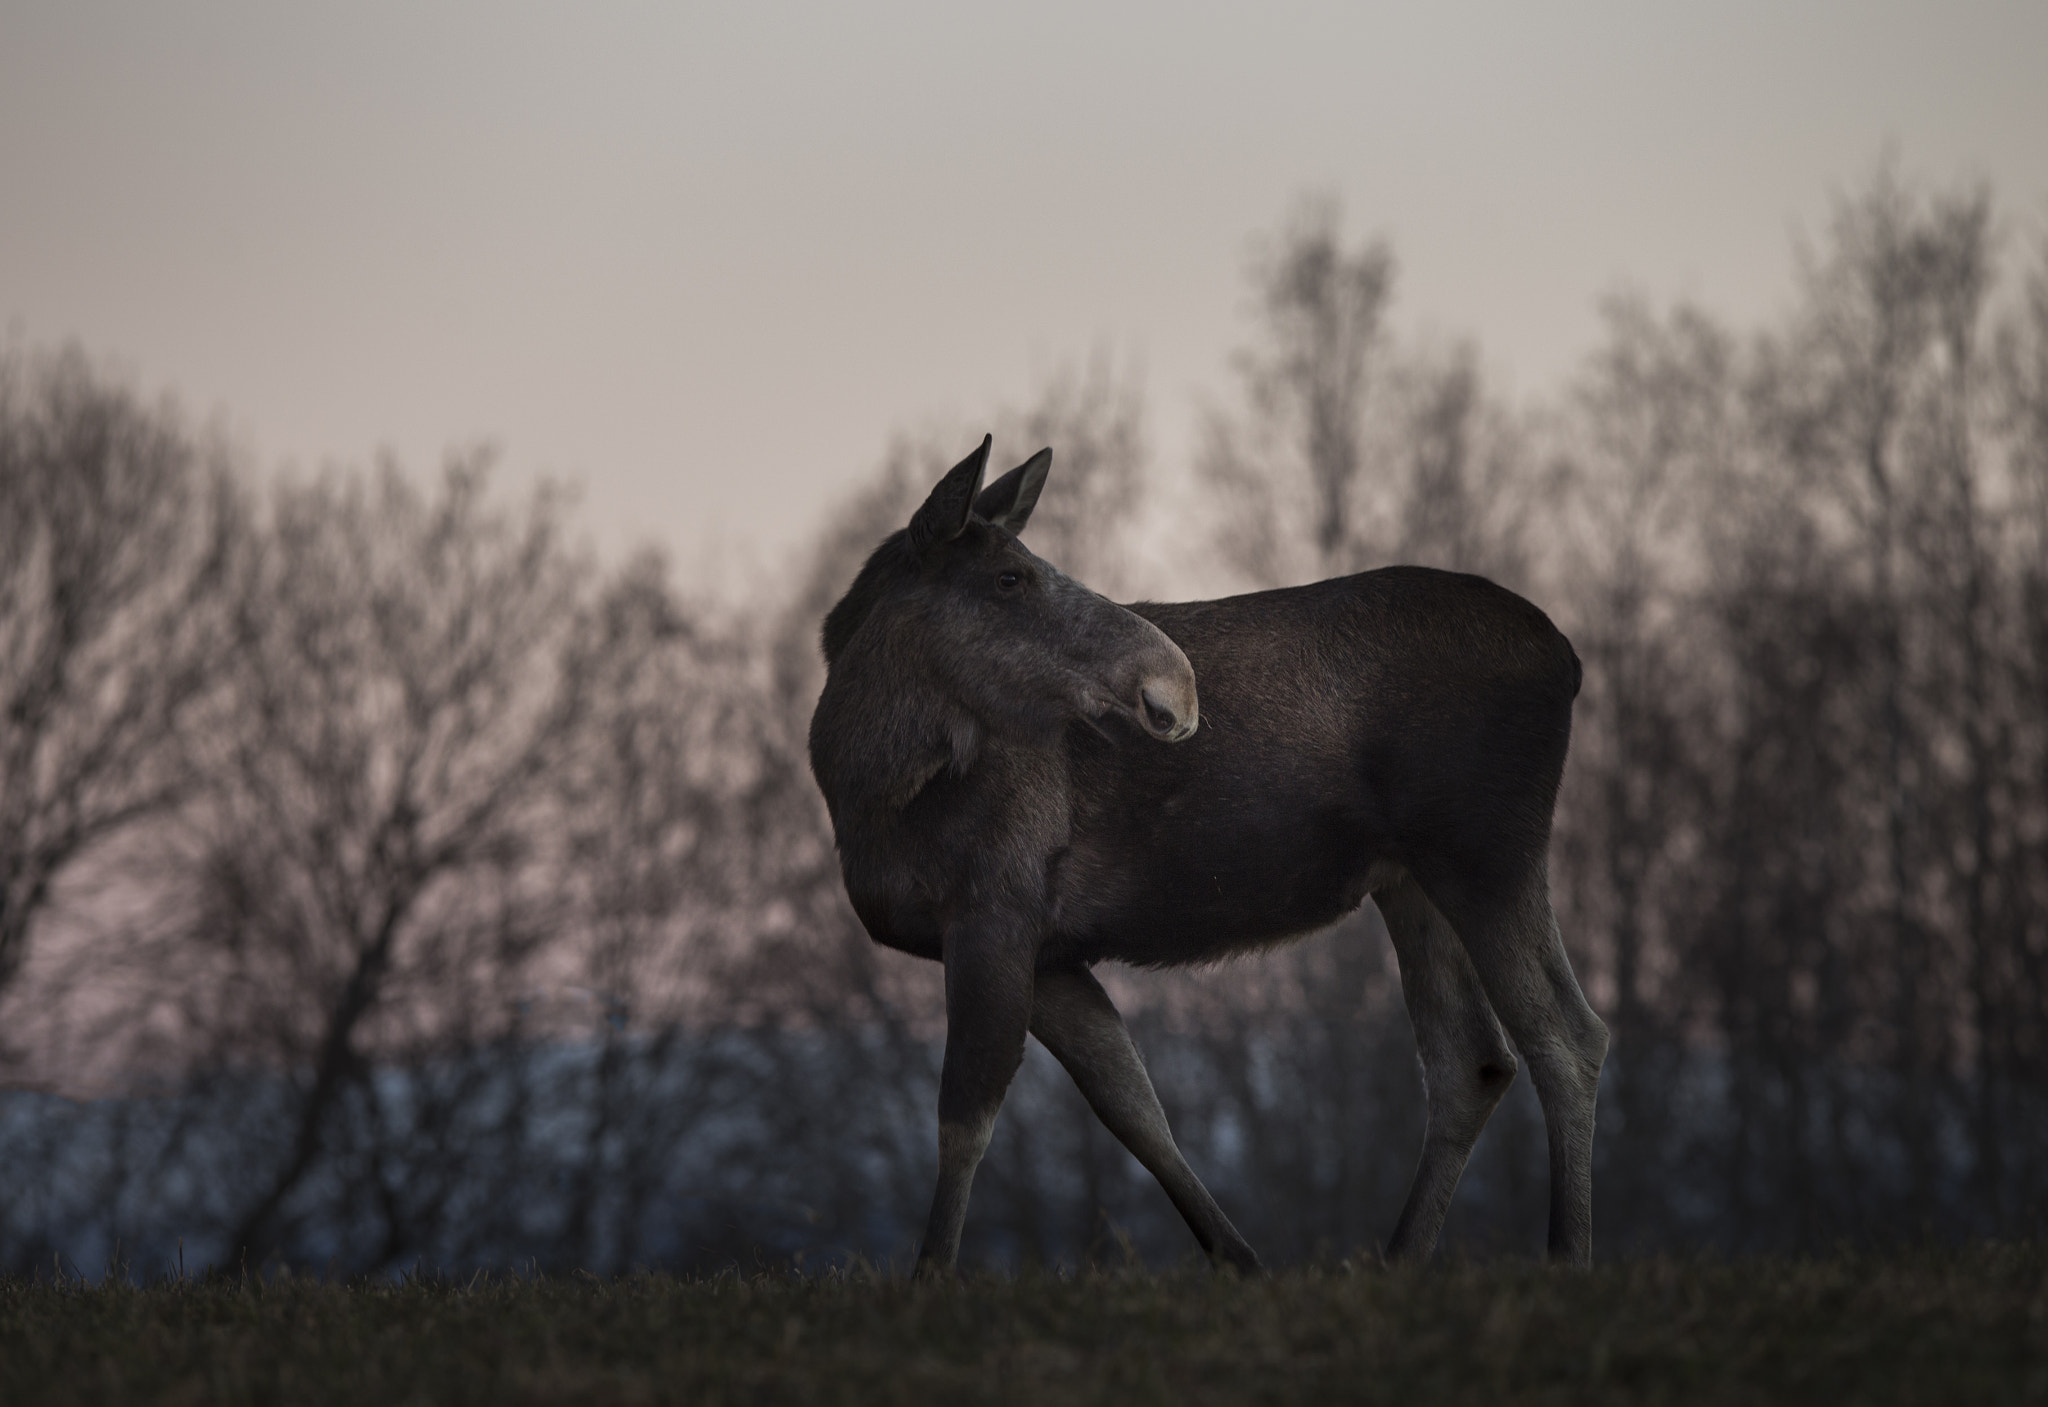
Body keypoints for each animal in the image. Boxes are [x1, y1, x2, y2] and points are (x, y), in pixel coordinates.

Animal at [807, 436, 1608, 1275]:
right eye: (1008, 577)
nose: (1175, 683)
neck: (867, 786)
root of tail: (1570, 659)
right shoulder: (1051, 952)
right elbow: (1134, 1106)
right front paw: (1241, 1261)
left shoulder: (994, 909)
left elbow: (965, 1118)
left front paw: (930, 1274)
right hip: (1414, 878)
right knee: (1472, 1059)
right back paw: (1397, 1261)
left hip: (1488, 849)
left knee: (1566, 1033)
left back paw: (1567, 1256)